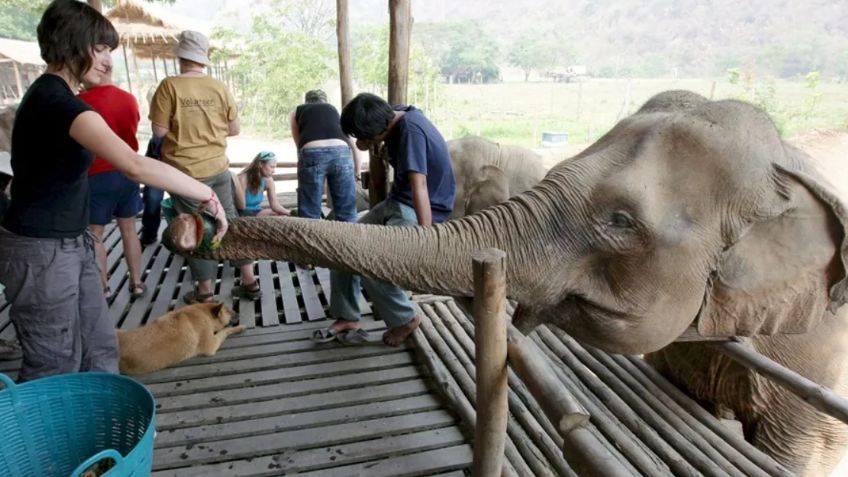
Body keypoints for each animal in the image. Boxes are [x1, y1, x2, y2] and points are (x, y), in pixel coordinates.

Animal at [115, 304, 245, 374]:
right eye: (228, 311)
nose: (239, 313)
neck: (201, 311)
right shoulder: (211, 345)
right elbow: (225, 330)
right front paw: (239, 327)